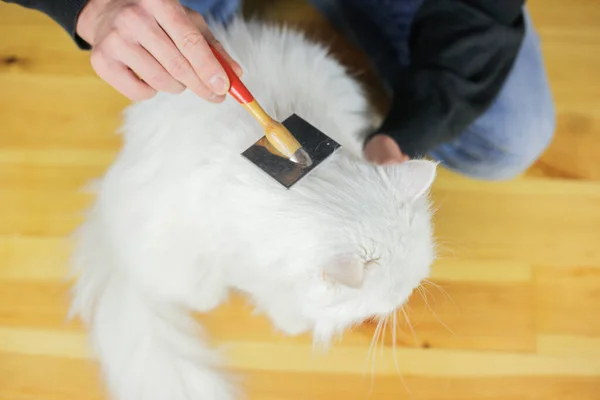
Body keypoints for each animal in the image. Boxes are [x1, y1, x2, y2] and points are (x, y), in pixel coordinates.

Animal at [68, 16, 438, 400]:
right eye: (395, 293)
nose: (408, 295)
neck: (317, 189)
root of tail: (107, 198)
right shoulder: (241, 264)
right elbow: (278, 298)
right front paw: (293, 323)